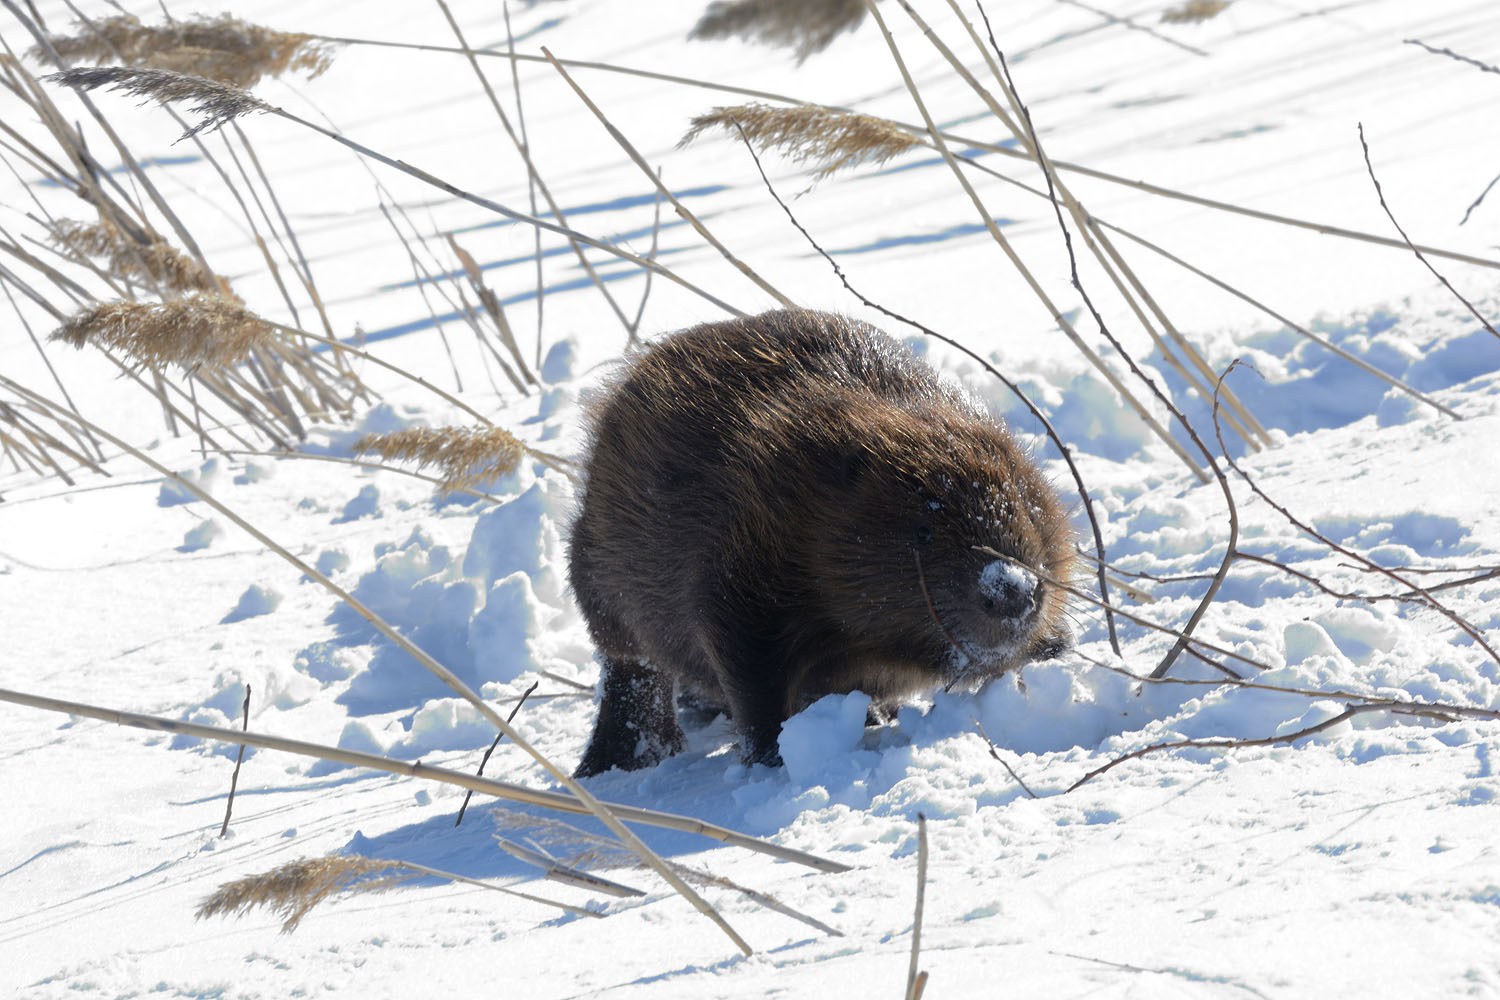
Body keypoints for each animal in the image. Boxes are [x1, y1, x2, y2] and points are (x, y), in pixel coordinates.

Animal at [567, 308, 1074, 779]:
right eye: (922, 531)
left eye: (1029, 511)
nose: (1010, 590)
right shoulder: (744, 555)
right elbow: (751, 670)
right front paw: (772, 755)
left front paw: (1055, 648)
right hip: (597, 569)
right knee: (633, 667)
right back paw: (625, 756)